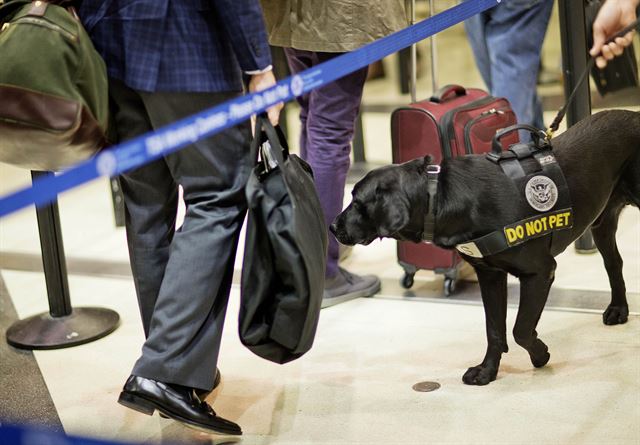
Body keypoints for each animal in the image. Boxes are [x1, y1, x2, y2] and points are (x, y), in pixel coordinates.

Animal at [332, 110, 636, 386]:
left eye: (357, 202)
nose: (333, 226)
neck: (440, 197)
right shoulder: (490, 275)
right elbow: (494, 330)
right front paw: (487, 371)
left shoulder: (540, 272)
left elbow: (521, 329)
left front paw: (540, 354)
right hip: (601, 224)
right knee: (614, 264)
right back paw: (618, 308)